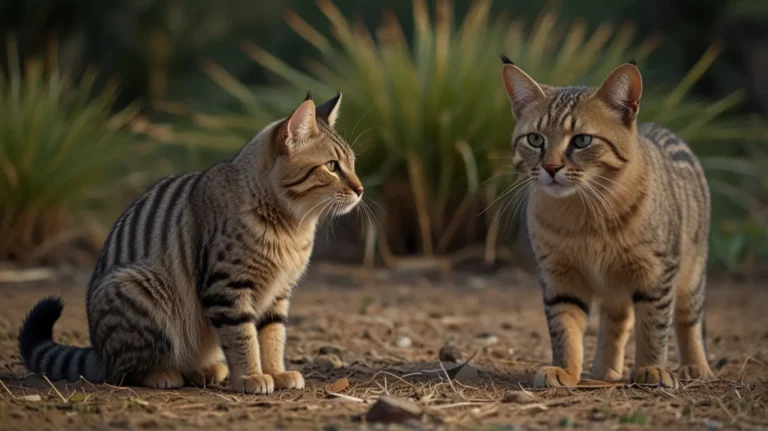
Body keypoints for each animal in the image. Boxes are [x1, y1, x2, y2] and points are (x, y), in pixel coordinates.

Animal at [20, 93, 364, 394]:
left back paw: (206, 370)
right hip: (138, 291)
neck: (292, 227)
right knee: (124, 370)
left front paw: (276, 373)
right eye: (332, 166)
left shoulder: (278, 293)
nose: (361, 189)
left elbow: (272, 336)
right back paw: (162, 374)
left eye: (353, 164)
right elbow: (243, 337)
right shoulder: (227, 288)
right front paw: (251, 376)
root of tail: (97, 351)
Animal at [504, 55, 712, 390]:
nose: (550, 167)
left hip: (691, 273)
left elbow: (653, 324)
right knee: (618, 320)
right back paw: (604, 369)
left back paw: (696, 366)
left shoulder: (657, 271)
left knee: (687, 319)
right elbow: (565, 328)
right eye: (535, 139)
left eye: (582, 140)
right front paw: (564, 370)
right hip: (616, 284)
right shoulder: (559, 276)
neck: (586, 215)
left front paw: (652, 368)